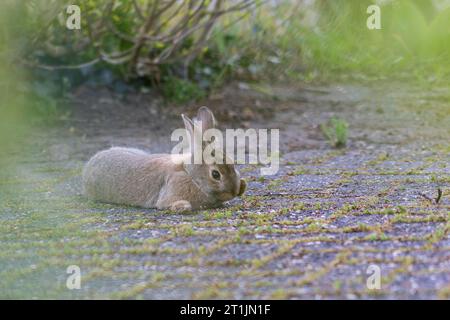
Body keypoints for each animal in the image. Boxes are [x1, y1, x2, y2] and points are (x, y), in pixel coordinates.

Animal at [82, 106, 248, 211]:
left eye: (233, 164)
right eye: (215, 174)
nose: (233, 191)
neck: (190, 174)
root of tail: (90, 163)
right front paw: (182, 207)